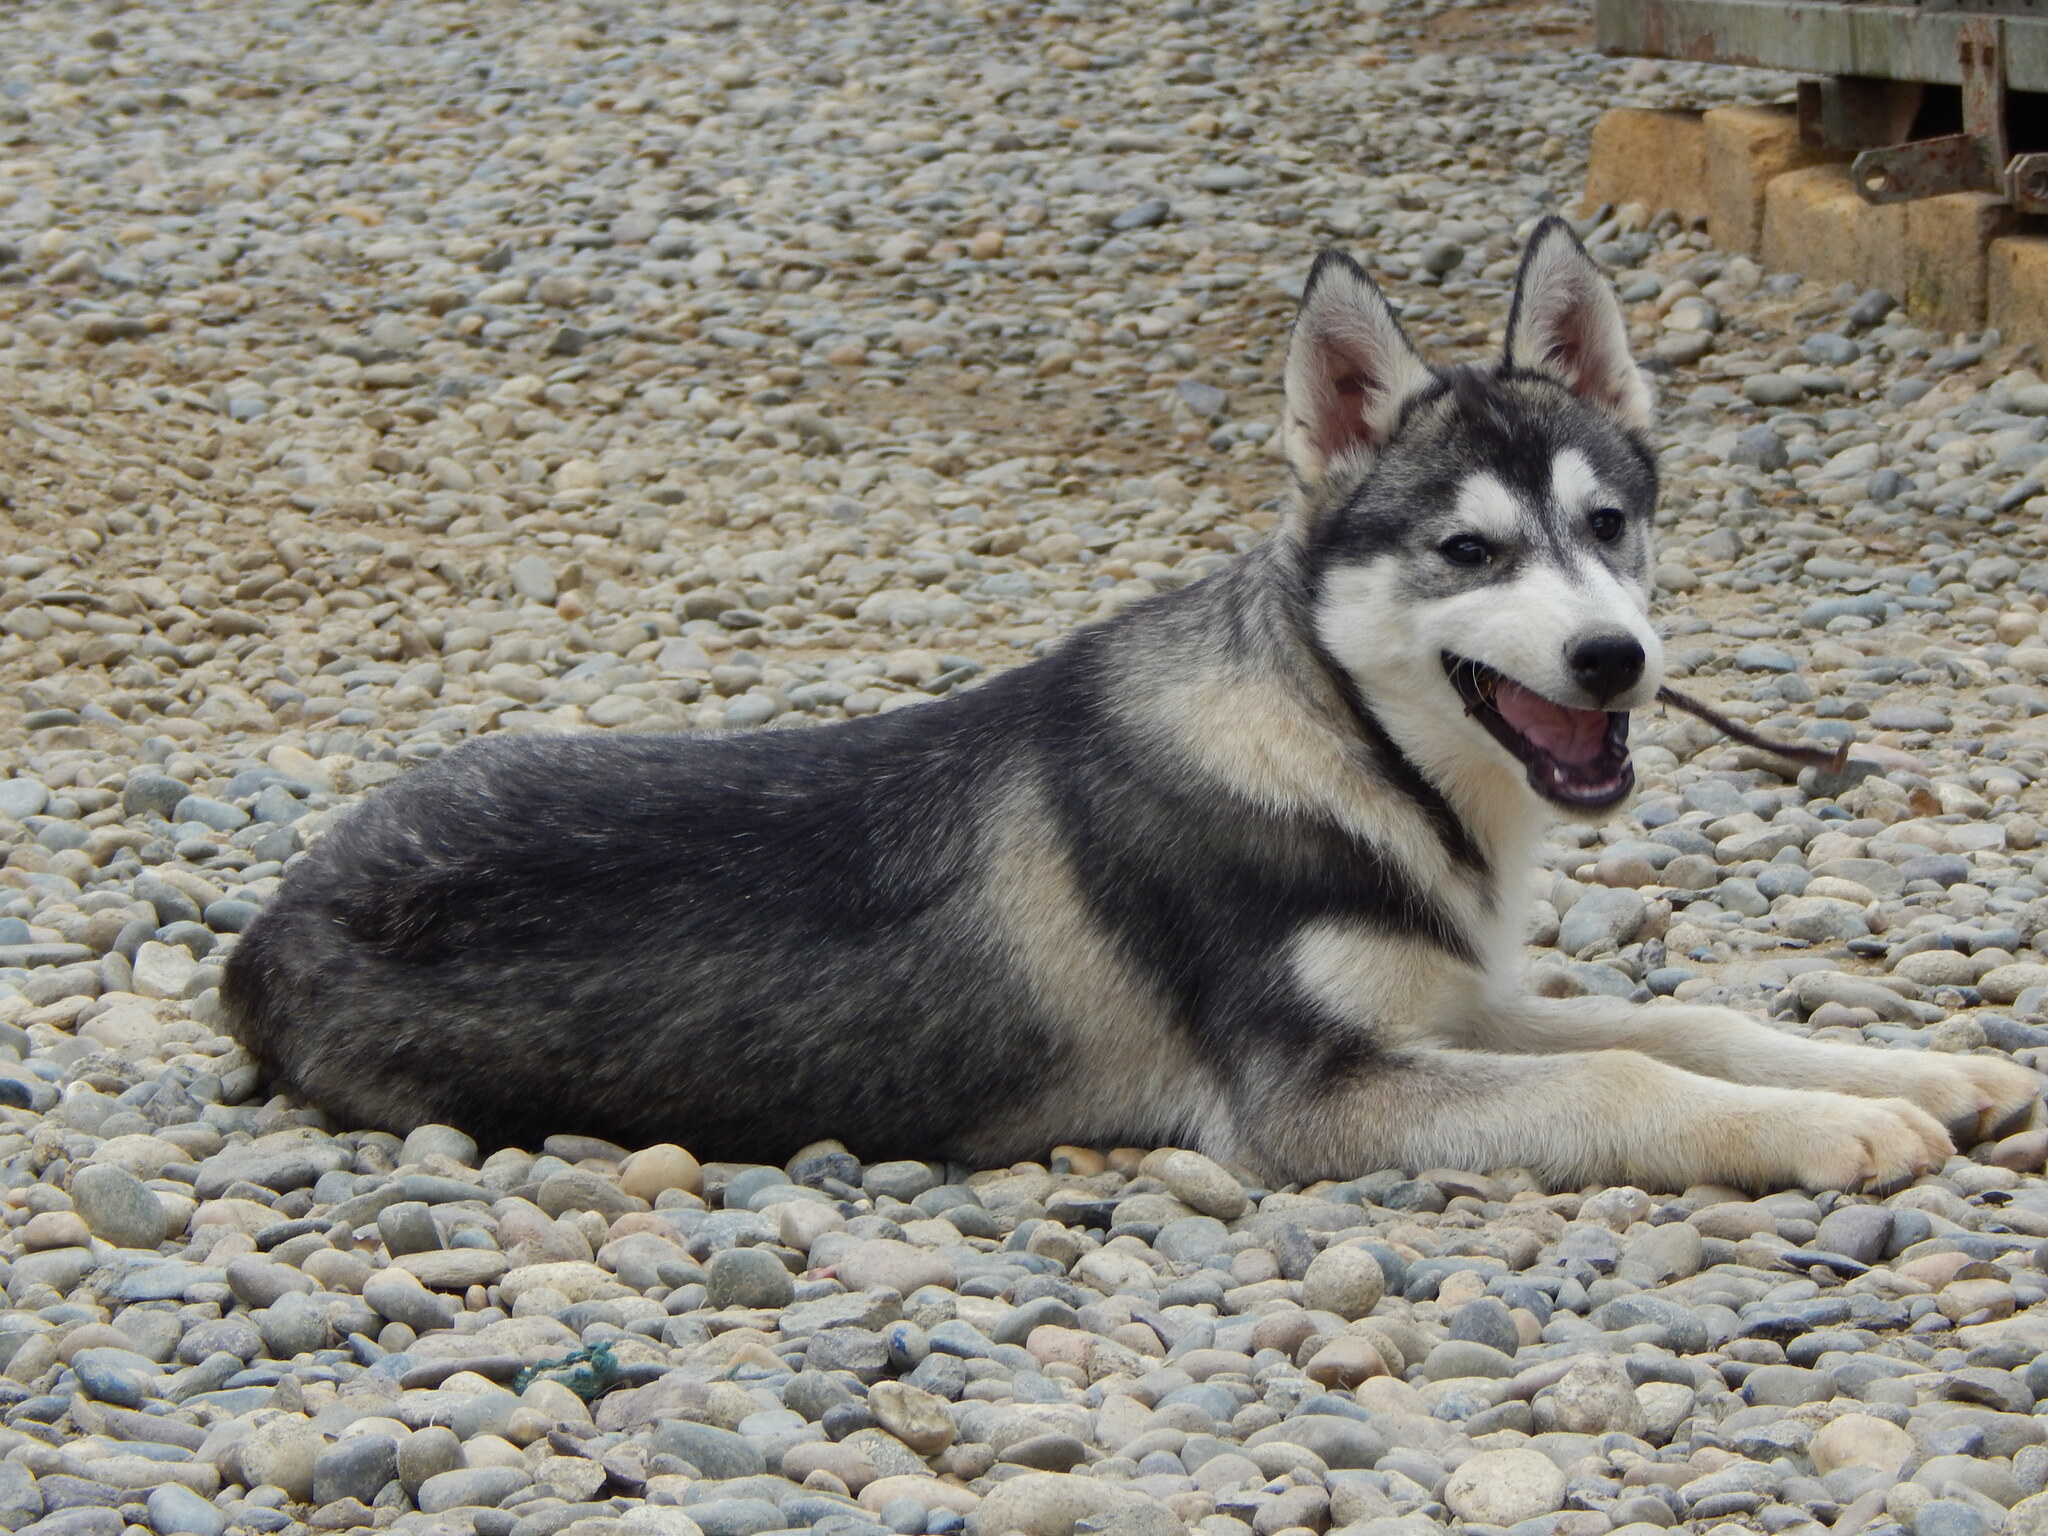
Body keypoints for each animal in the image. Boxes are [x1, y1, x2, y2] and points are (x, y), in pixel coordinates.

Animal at [220, 222, 2031, 1196]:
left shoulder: (1447, 1002)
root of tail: (263, 930)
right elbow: (1632, 1084)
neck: (1348, 748)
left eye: (1608, 525)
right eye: (1467, 551)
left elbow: (1689, 1024)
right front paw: (1832, 1132)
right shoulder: (1315, 1098)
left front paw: (1906, 1073)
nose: (1611, 662)